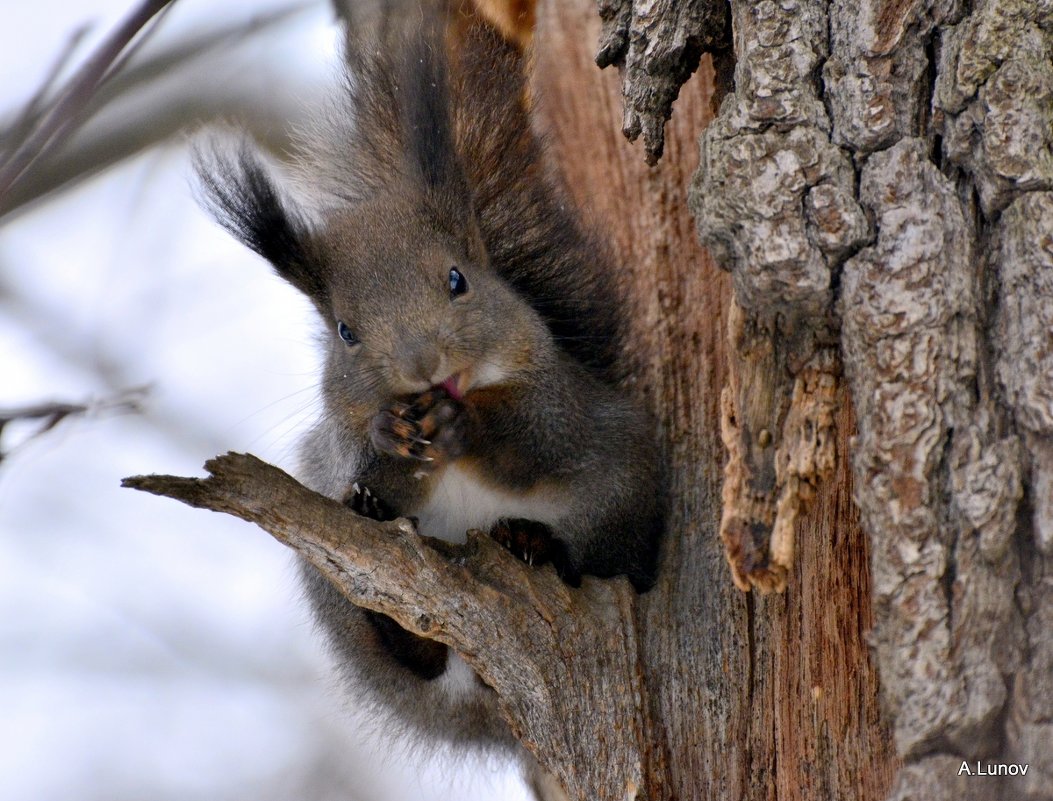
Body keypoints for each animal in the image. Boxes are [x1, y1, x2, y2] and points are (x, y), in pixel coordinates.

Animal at [193, 7, 661, 799]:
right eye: (345, 332)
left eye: (457, 280)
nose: (421, 368)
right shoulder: (334, 436)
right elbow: (363, 448)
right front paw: (388, 438)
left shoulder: (568, 403)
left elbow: (540, 438)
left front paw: (467, 423)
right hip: (335, 587)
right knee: (407, 646)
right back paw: (399, 615)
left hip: (621, 503)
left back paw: (534, 543)